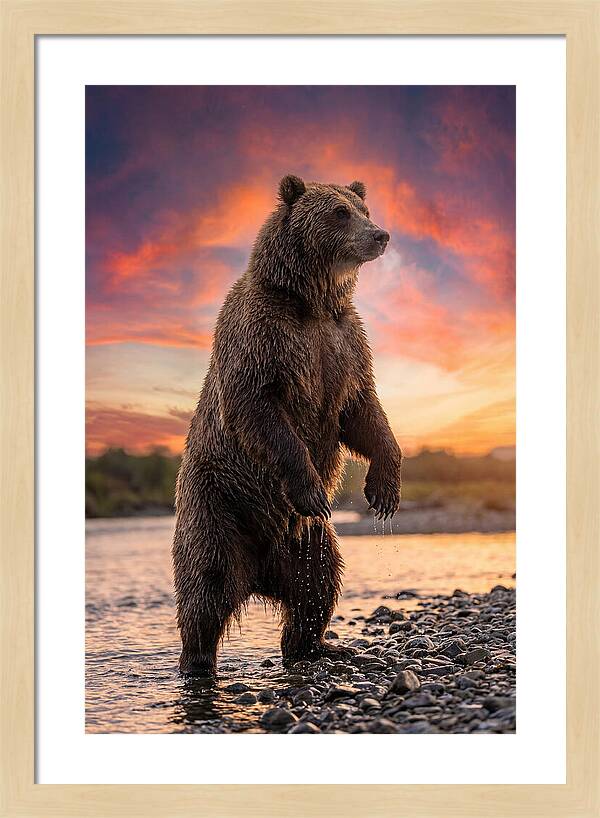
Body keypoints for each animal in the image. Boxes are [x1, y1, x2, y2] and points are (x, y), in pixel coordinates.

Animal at [172, 175, 403, 675]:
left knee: (318, 582)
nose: (380, 235)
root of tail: (258, 573)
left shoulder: (344, 344)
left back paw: (318, 645)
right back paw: (197, 662)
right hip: (217, 504)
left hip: (307, 540)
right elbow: (260, 409)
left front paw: (384, 490)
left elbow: (363, 412)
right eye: (339, 212)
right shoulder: (264, 336)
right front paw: (313, 488)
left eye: (364, 208)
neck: (312, 301)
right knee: (206, 585)